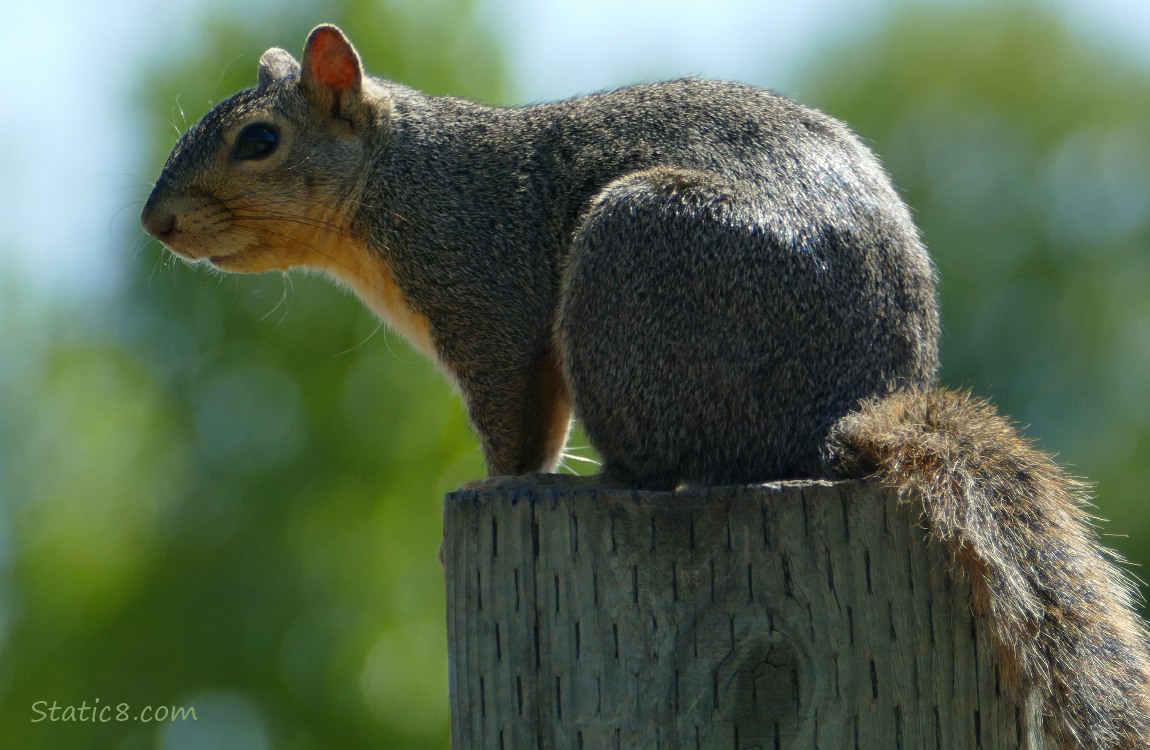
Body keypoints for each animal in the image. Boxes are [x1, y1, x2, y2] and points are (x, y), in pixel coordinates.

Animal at [141, 24, 1150, 748]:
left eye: (259, 140)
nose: (155, 222)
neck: (402, 179)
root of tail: (846, 419)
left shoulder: (487, 300)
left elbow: (514, 423)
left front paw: (497, 488)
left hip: (634, 268)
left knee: (654, 466)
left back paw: (590, 488)